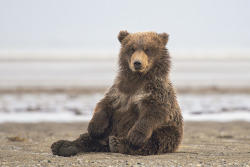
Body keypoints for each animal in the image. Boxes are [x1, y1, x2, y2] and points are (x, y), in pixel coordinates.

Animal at [50, 30, 184, 157]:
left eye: (147, 49)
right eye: (131, 49)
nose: (137, 63)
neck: (138, 79)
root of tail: (105, 145)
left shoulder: (156, 91)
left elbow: (154, 111)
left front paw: (135, 137)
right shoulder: (118, 91)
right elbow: (104, 104)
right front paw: (95, 127)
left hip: (169, 130)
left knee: (156, 141)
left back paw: (118, 143)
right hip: (110, 128)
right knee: (87, 138)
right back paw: (63, 146)